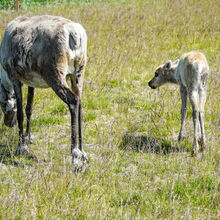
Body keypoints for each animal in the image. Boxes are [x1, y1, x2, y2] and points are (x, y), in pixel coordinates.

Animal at [0, 15, 87, 171]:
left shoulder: (15, 77)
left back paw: (75, 156)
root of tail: (74, 33)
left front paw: (21, 147)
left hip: (55, 74)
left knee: (73, 101)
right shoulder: (31, 82)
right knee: (80, 103)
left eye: (2, 105)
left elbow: (21, 113)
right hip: (78, 73)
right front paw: (28, 138)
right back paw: (83, 152)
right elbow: (29, 109)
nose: (8, 124)